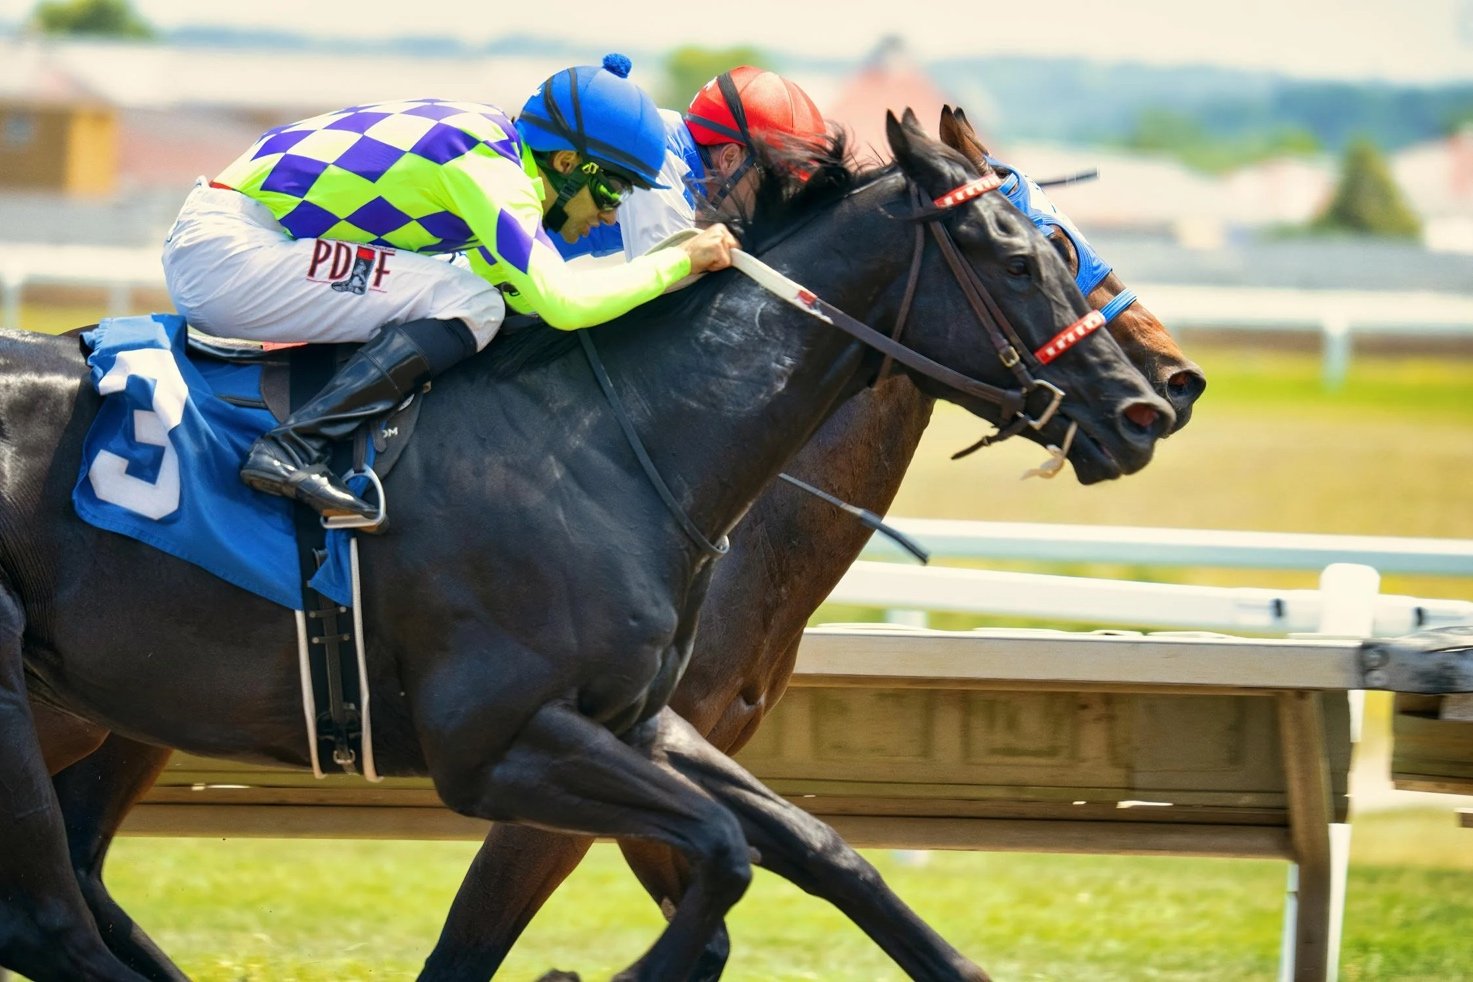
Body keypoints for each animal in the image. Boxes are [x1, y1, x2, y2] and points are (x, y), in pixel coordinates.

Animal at [2, 110, 1173, 982]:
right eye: (1024, 254)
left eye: (1058, 240)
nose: (1149, 405)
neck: (619, 442)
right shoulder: (500, 746)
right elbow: (714, 859)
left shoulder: (642, 720)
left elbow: (820, 852)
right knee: (50, 925)